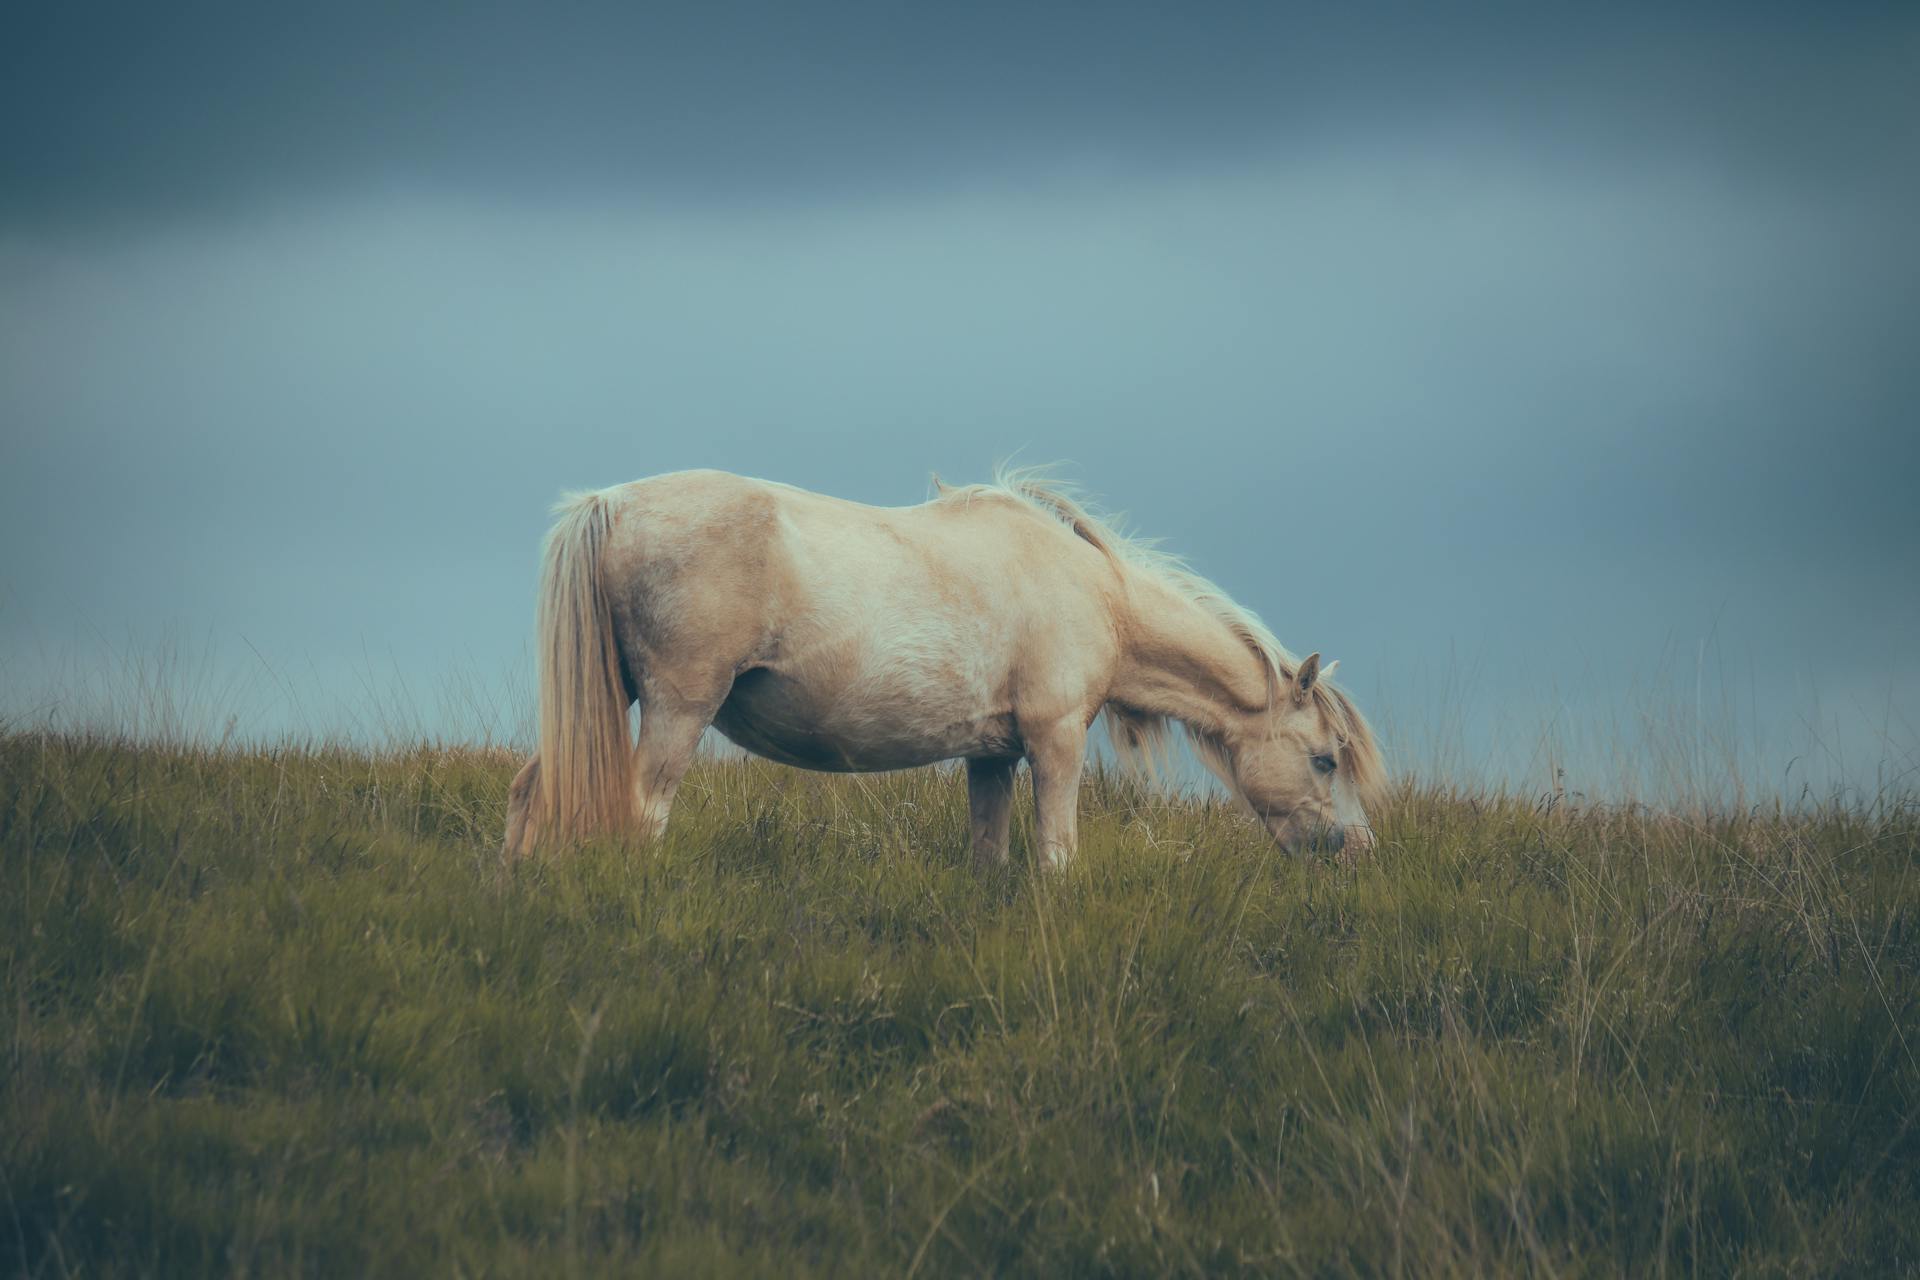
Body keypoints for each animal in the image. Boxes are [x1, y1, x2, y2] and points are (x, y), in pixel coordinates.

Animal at [503, 470, 1390, 871]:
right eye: (1324, 759)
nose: (1352, 847)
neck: (1097, 594)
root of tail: (613, 501)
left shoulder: (991, 757)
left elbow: (988, 857)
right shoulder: (1055, 743)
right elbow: (1057, 855)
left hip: (603, 704)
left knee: (530, 793)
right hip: (677, 710)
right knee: (641, 813)